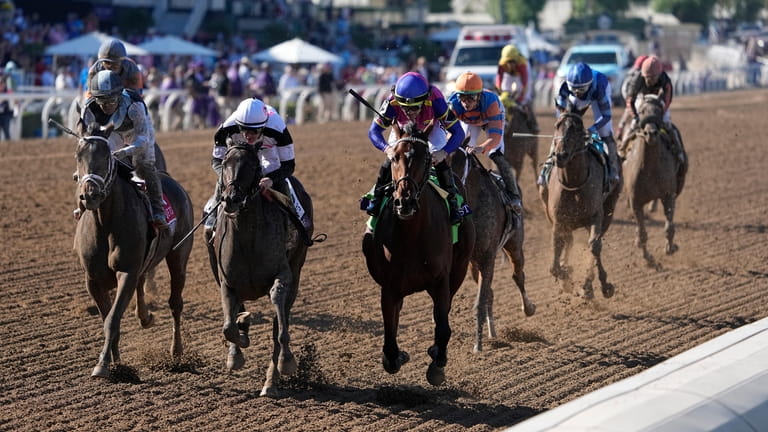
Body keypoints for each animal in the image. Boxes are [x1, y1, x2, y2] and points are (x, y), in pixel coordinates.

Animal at [74, 130, 195, 376]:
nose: (89, 195)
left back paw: (176, 351)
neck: (105, 224)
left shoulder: (126, 272)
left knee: (175, 302)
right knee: (143, 280)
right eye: (78, 155)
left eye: (106, 156)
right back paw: (145, 317)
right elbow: (107, 318)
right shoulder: (92, 280)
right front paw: (115, 361)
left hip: (179, 255)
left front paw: (103, 364)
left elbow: (112, 319)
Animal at [207, 143, 318, 396]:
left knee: (280, 319)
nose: (231, 199)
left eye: (252, 165)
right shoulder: (227, 283)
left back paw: (271, 381)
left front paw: (287, 361)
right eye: (225, 163)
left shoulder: (283, 275)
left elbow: (278, 319)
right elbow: (228, 327)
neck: (247, 239)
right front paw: (237, 351)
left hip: (296, 271)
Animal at [362, 120, 474, 384]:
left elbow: (443, 327)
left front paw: (437, 363)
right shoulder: (390, 286)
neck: (411, 236)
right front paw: (396, 356)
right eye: (394, 158)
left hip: (459, 269)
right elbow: (390, 336)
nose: (405, 201)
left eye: (425, 159)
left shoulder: (442, 280)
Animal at [450, 147, 536, 352]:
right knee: (491, 292)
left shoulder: (488, 258)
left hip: (514, 246)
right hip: (473, 265)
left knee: (518, 276)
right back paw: (492, 331)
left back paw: (528, 308)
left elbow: (480, 302)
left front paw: (478, 345)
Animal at [536, 111, 620, 298]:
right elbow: (554, 264)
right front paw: (565, 275)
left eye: (578, 128)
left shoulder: (596, 216)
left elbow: (594, 246)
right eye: (557, 125)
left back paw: (591, 287)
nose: (560, 155)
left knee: (595, 245)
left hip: (608, 211)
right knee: (570, 241)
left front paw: (600, 285)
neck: (574, 184)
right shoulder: (558, 221)